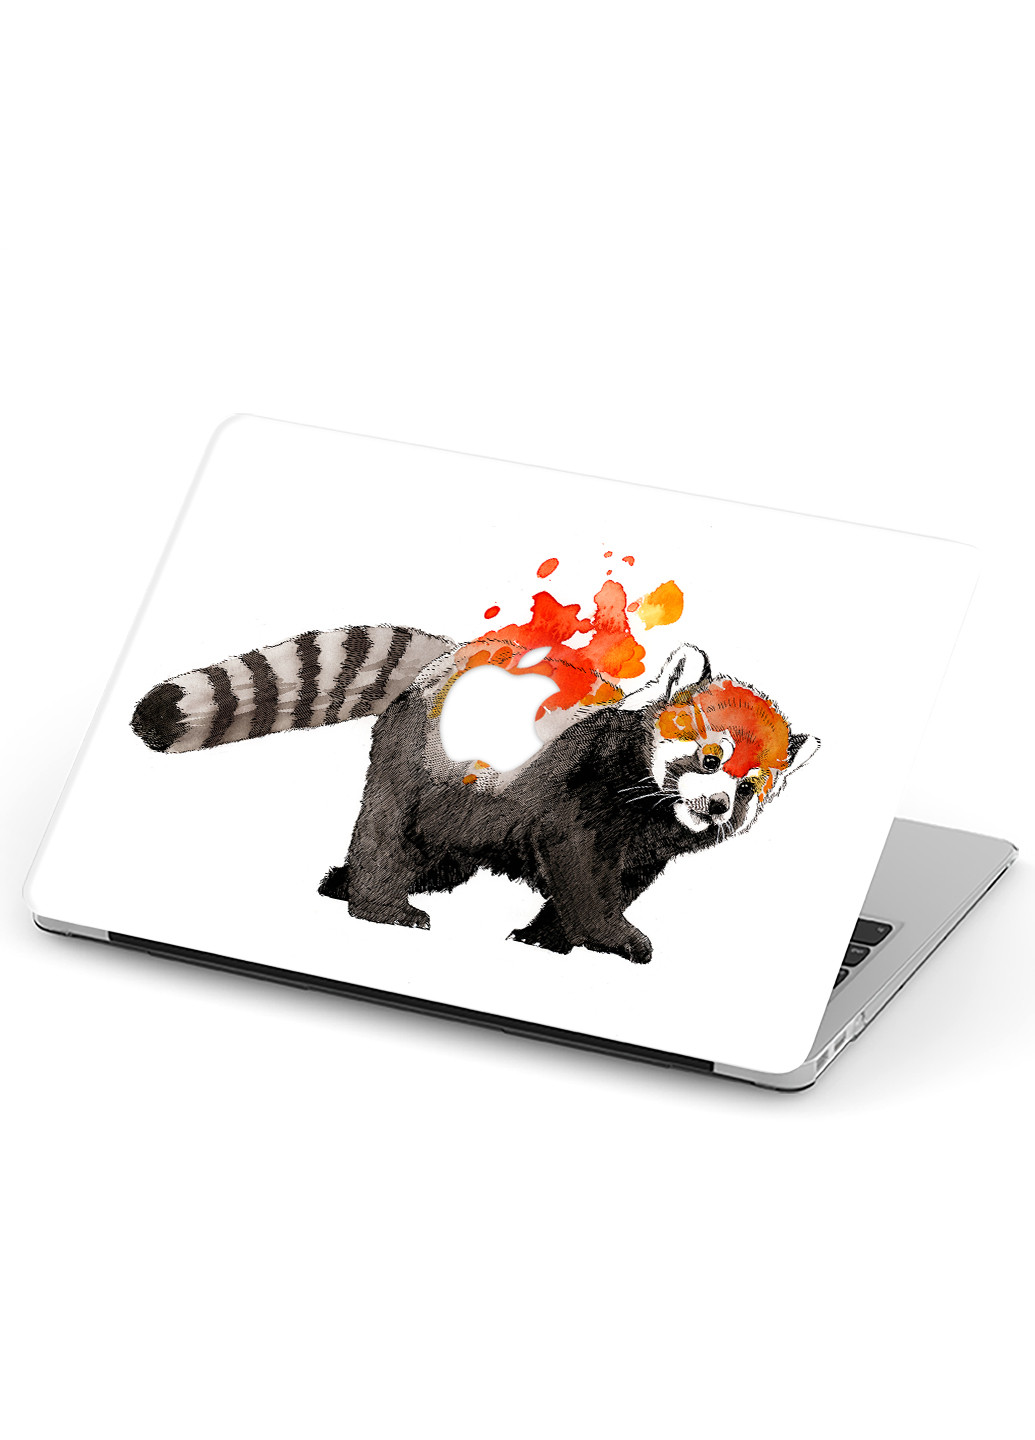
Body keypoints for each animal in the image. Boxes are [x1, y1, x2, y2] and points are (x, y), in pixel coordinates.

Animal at [132, 626, 818, 964]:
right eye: (711, 757)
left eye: (750, 790)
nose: (718, 806)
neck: (647, 809)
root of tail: (449, 659)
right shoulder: (582, 792)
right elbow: (579, 868)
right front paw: (617, 938)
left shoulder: (648, 847)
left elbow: (613, 882)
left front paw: (547, 939)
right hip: (416, 767)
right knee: (388, 835)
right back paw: (380, 904)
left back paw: (342, 881)